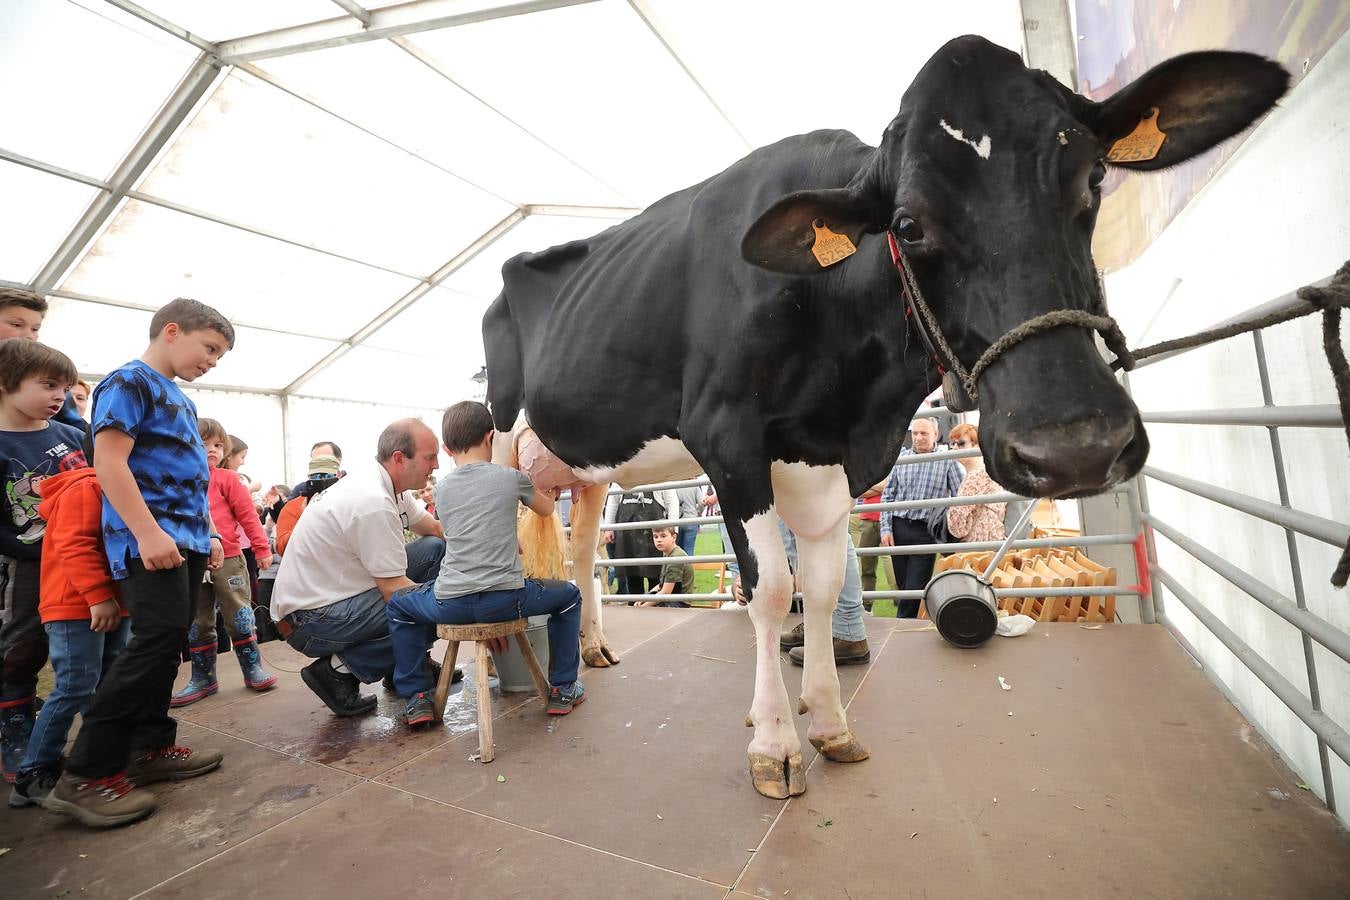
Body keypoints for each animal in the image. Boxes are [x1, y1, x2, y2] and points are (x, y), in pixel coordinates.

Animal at [486, 35, 1285, 798]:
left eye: (1093, 178)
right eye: (908, 222)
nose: (1075, 444)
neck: (855, 394)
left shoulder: (828, 456)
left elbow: (824, 584)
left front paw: (829, 723)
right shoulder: (727, 436)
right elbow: (770, 592)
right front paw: (774, 744)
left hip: (588, 464)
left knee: (583, 551)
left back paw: (594, 647)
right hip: (495, 429)